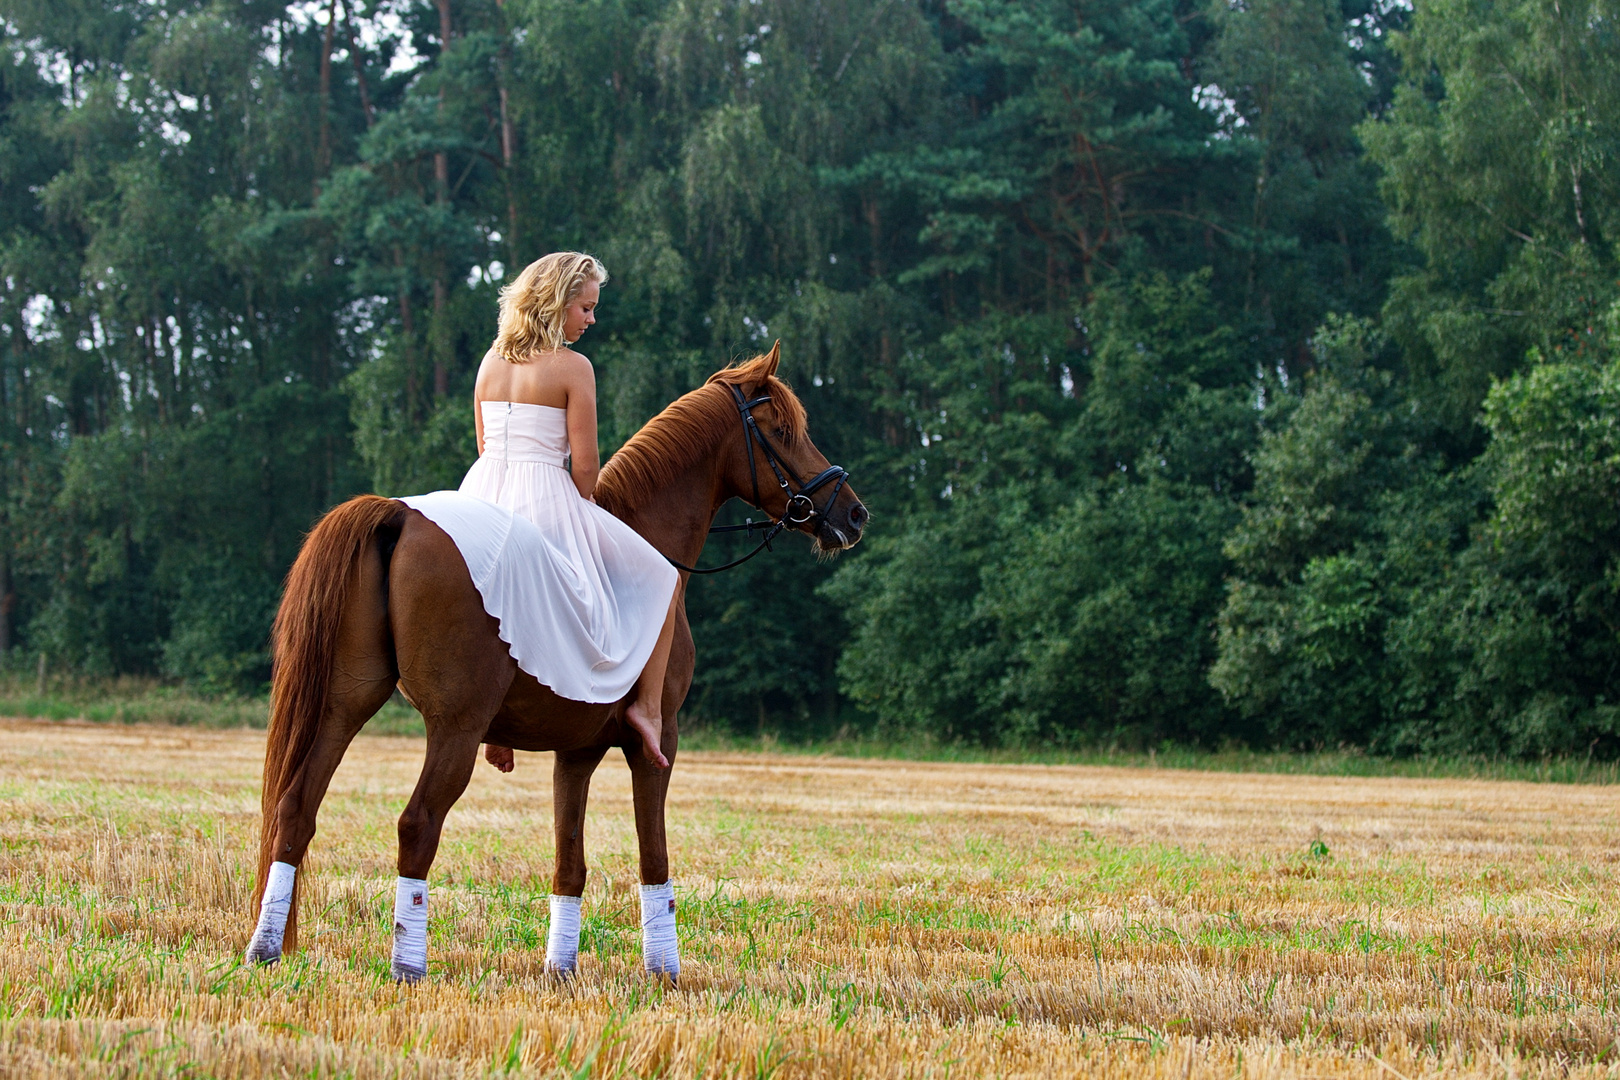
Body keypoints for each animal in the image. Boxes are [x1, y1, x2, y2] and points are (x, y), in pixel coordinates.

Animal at [241, 344, 868, 977]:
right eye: (782, 431)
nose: (855, 515)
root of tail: (398, 514)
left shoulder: (576, 751)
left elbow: (570, 863)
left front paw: (559, 969)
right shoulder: (657, 742)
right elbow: (654, 855)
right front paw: (664, 970)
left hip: (345, 704)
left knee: (295, 808)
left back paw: (266, 949)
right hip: (456, 727)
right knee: (417, 824)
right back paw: (407, 967)